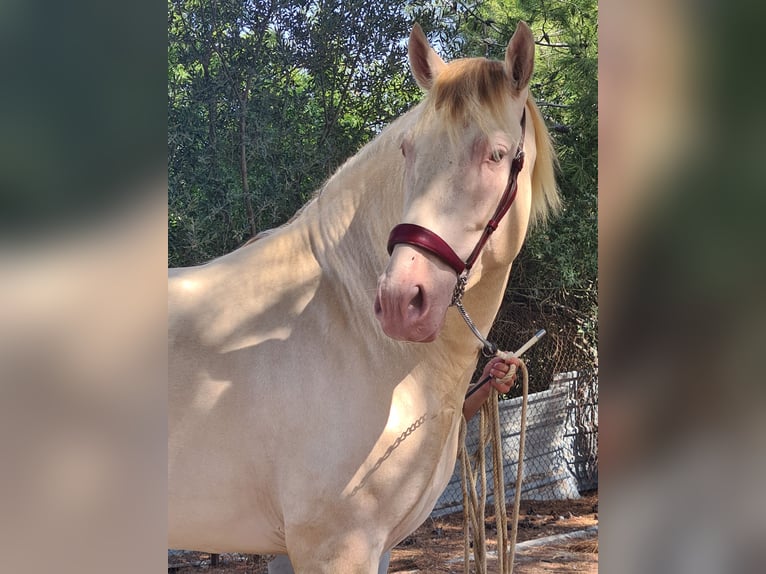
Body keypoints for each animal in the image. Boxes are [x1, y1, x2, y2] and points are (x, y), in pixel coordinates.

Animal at [171, 20, 560, 572]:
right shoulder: (335, 546)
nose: (401, 300)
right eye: (408, 150)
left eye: (497, 154)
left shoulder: (374, 546)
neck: (347, 329)